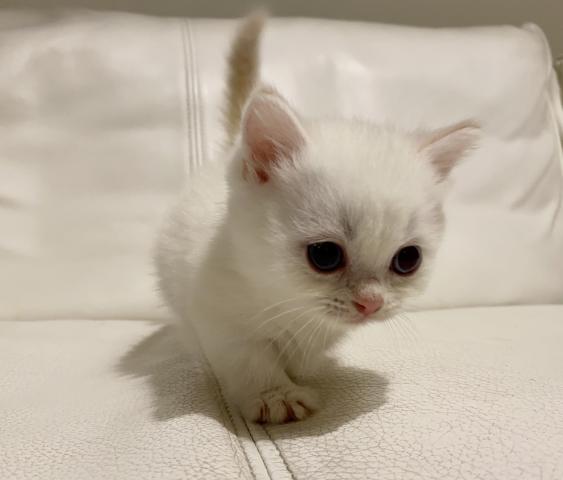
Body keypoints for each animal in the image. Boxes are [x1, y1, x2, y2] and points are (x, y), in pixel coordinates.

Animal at [155, 12, 479, 424]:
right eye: (325, 255)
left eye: (408, 259)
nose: (371, 304)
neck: (286, 297)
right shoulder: (217, 311)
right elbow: (248, 356)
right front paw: (274, 394)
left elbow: (305, 352)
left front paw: (302, 369)